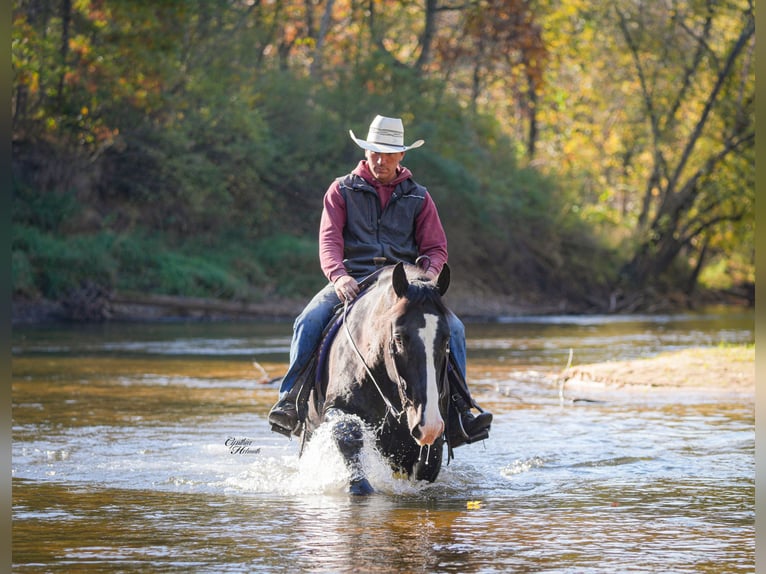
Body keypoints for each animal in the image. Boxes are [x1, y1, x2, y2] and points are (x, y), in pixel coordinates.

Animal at [295, 262, 453, 495]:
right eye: (398, 337)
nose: (429, 424)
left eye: (446, 338)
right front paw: (359, 486)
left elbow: (430, 459)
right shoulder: (335, 407)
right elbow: (347, 432)